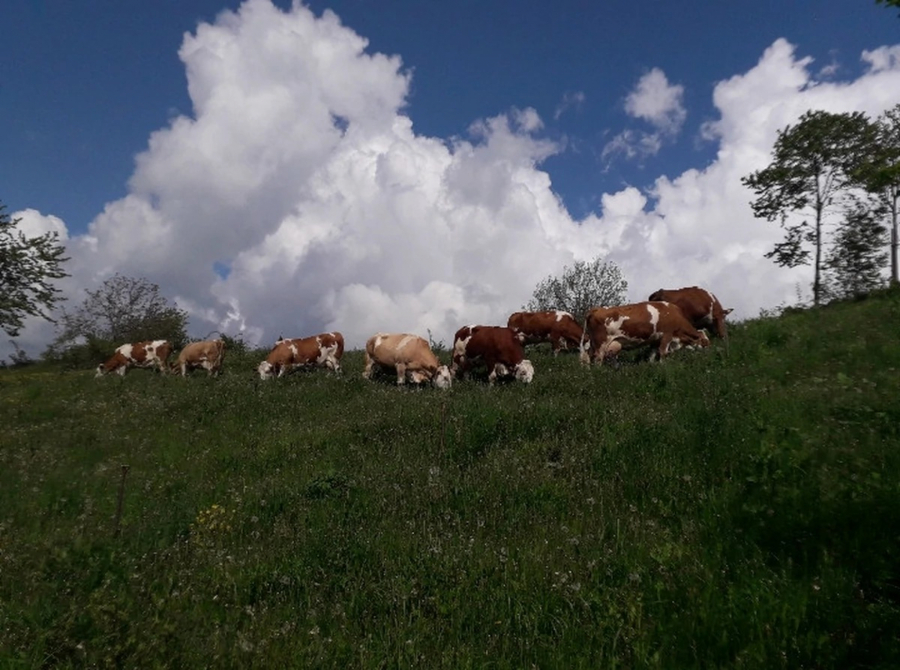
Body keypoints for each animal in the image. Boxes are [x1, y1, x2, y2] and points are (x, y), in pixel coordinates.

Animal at [584, 304, 712, 368]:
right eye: (705, 342)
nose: (709, 352)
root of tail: (596, 309)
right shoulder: (667, 335)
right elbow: (663, 352)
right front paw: (663, 365)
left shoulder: (656, 340)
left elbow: (652, 354)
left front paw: (651, 365)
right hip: (601, 343)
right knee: (598, 358)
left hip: (593, 343)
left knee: (589, 356)